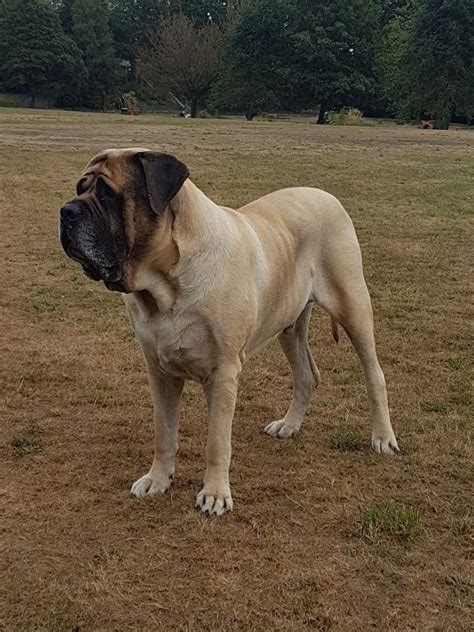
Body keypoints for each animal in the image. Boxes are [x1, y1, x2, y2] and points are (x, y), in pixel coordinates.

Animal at [60, 151, 400, 516]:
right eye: (80, 188)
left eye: (108, 194)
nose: (66, 211)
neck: (166, 285)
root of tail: (326, 195)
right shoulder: (159, 372)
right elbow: (164, 433)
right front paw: (158, 479)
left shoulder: (223, 374)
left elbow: (216, 442)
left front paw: (215, 494)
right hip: (289, 323)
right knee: (307, 375)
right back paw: (289, 425)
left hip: (353, 306)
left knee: (374, 374)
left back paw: (383, 437)